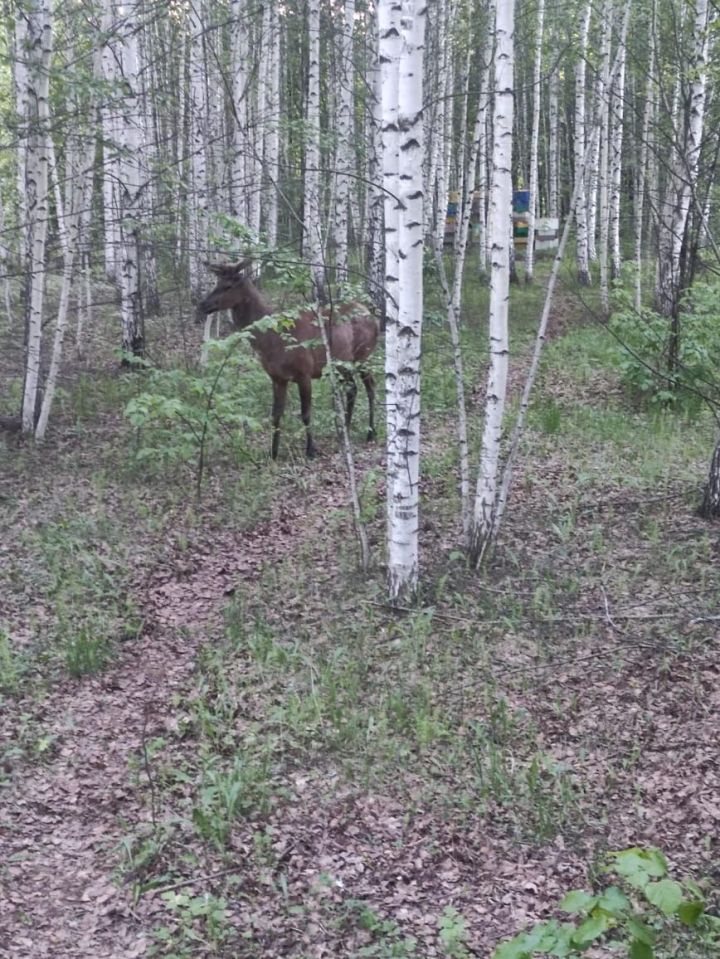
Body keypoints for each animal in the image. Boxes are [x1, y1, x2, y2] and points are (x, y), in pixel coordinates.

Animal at [194, 260, 380, 460]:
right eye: (216, 283)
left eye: (227, 286)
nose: (202, 304)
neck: (273, 339)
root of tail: (372, 316)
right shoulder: (277, 378)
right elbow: (276, 415)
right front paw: (273, 453)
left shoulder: (304, 372)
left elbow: (305, 413)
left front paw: (311, 451)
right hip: (343, 364)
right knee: (353, 388)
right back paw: (345, 429)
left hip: (364, 355)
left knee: (370, 386)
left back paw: (370, 433)